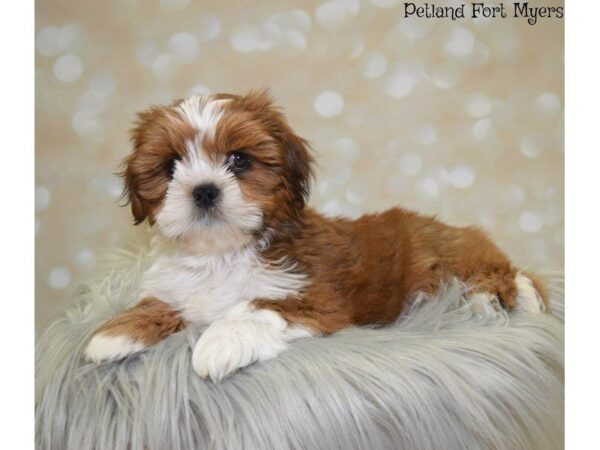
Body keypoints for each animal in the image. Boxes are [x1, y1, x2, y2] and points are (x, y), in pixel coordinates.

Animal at [84, 89, 548, 382]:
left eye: (239, 160)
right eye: (170, 165)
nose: (204, 190)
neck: (223, 254)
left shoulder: (318, 299)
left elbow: (255, 306)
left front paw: (219, 342)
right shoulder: (180, 287)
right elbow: (160, 302)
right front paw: (116, 332)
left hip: (446, 252)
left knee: (503, 274)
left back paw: (488, 301)